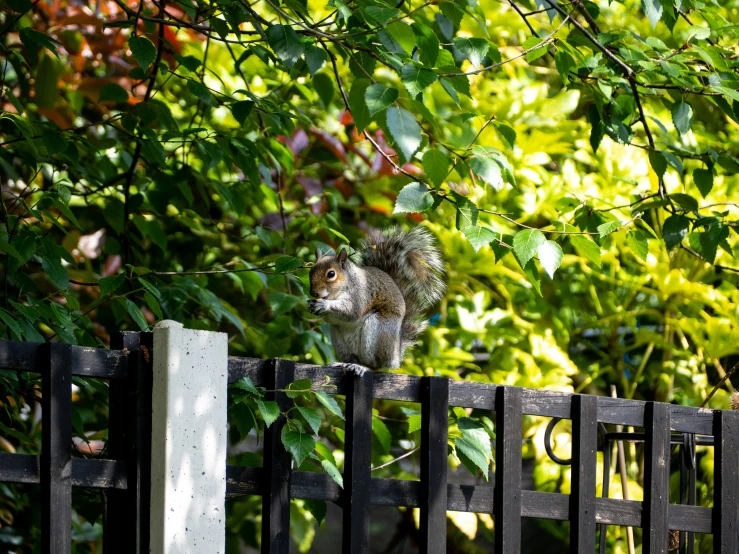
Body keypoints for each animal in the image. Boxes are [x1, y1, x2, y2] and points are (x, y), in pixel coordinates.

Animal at [306, 225, 446, 376]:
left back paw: (363, 367)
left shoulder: (361, 294)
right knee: (352, 357)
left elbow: (352, 311)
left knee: (376, 366)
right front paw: (311, 304)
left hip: (378, 331)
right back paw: (343, 363)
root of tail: (395, 357)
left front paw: (324, 304)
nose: (313, 293)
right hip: (340, 339)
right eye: (310, 272)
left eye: (331, 274)